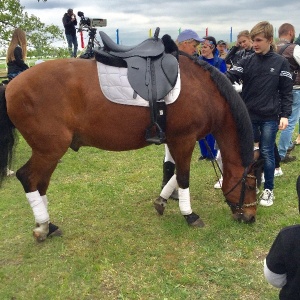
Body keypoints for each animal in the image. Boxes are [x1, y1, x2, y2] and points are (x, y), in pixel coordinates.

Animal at [0, 53, 258, 241]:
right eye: (251, 184)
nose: (250, 217)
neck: (202, 88)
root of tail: (11, 85)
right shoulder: (184, 139)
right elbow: (183, 177)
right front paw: (189, 215)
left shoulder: (176, 141)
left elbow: (174, 175)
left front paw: (162, 201)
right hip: (50, 149)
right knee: (28, 178)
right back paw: (43, 227)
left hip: (48, 152)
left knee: (41, 183)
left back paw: (48, 225)